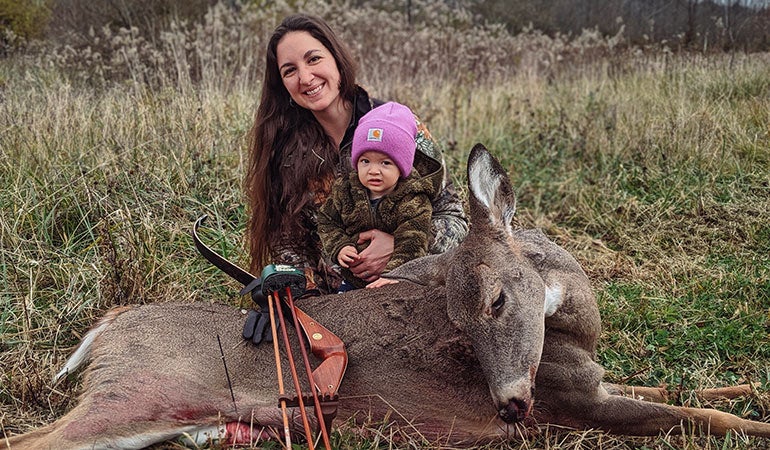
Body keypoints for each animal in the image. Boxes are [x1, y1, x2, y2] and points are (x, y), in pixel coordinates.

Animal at [7, 145, 768, 450]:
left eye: (496, 301)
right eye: (460, 326)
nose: (508, 407)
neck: (577, 331)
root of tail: (106, 328)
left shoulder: (591, 382)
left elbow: (695, 392)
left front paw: (749, 386)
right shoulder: (572, 402)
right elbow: (695, 416)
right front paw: (755, 424)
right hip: (140, 389)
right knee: (30, 439)